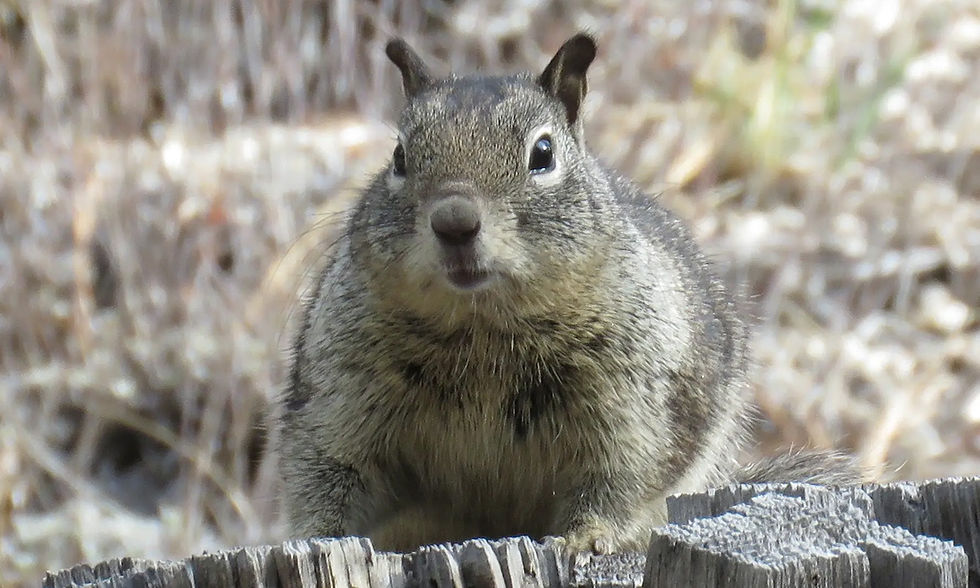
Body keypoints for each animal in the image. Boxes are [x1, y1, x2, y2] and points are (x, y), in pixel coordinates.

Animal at [276, 33, 863, 554]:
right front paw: (315, 538)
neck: (481, 327)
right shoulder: (340, 393)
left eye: (543, 153)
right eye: (399, 156)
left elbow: (619, 477)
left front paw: (586, 538)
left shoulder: (633, 403)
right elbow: (328, 470)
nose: (455, 221)